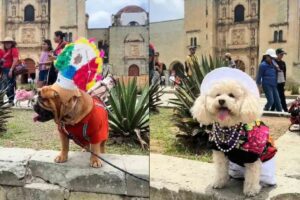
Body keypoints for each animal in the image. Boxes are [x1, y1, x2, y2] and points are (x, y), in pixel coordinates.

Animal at [192, 68, 276, 196]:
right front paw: (219, 183)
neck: (229, 128)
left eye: (231, 95)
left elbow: (252, 176)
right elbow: (221, 170)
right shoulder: (220, 153)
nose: (221, 100)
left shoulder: (252, 157)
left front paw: (251, 190)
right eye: (217, 95)